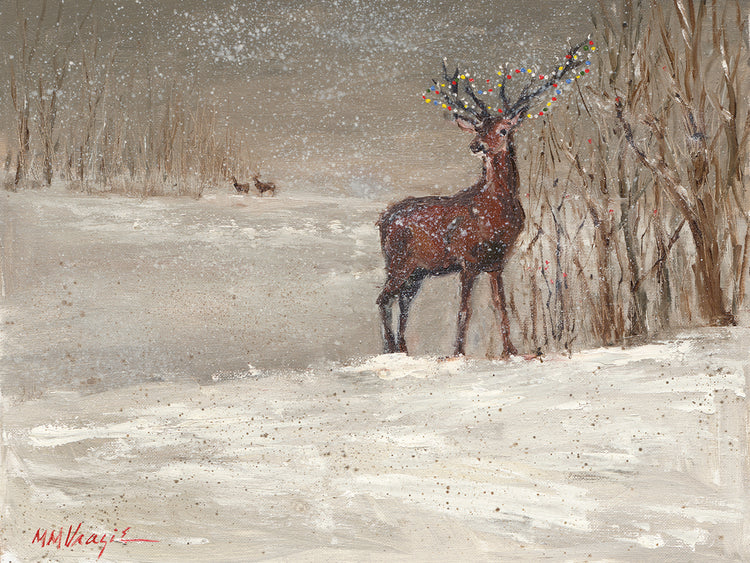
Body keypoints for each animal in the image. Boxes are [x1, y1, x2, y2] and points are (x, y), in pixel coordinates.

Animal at [377, 40, 592, 358]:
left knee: (402, 302)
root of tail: (383, 219)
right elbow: (464, 309)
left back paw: (402, 348)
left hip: (417, 271)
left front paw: (511, 350)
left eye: (502, 129)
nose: (476, 145)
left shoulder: (497, 261)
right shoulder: (467, 258)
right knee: (383, 298)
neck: (495, 210)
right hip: (398, 261)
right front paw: (458, 353)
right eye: (479, 128)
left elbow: (500, 306)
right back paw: (390, 348)